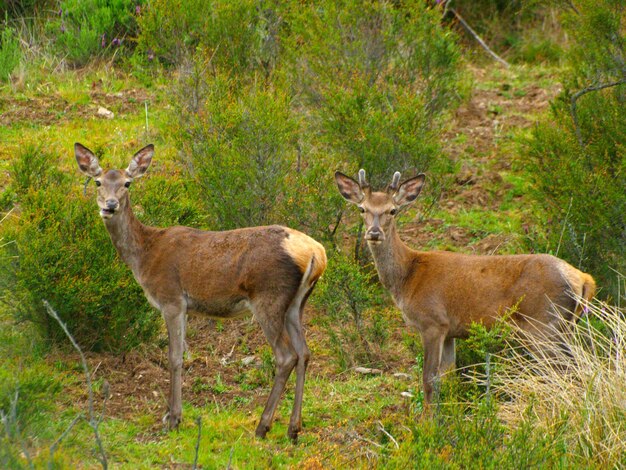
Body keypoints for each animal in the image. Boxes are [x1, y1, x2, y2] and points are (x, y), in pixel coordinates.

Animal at [75, 142, 324, 440]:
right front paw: (172, 414)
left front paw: (173, 418)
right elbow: (181, 353)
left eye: (127, 183)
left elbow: (174, 357)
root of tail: (316, 253)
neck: (144, 256)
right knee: (305, 352)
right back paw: (293, 428)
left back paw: (263, 426)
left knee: (287, 356)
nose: (109, 206)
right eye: (98, 181)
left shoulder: (171, 298)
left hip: (269, 296)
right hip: (297, 303)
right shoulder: (183, 306)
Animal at [336, 169, 596, 404]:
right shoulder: (450, 330)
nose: (374, 233)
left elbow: (428, 380)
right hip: (561, 327)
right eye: (362, 209)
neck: (407, 278)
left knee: (569, 371)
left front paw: (427, 422)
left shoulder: (432, 322)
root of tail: (583, 278)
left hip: (544, 324)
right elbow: (448, 377)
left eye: (393, 210)